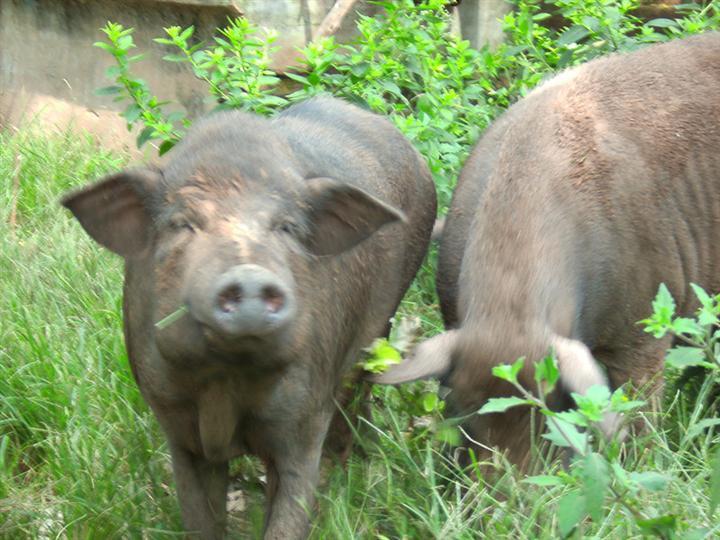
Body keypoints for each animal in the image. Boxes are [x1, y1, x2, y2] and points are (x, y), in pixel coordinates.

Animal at [59, 98, 436, 540]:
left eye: (287, 227)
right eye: (182, 223)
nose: (252, 275)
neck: (225, 384)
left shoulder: (305, 416)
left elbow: (292, 507)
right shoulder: (175, 422)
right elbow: (200, 516)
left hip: (380, 324)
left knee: (355, 399)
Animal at [372, 31, 720, 466]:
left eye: (553, 414)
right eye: (463, 413)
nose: (509, 487)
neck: (508, 311)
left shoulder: (647, 320)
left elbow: (638, 403)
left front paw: (634, 461)